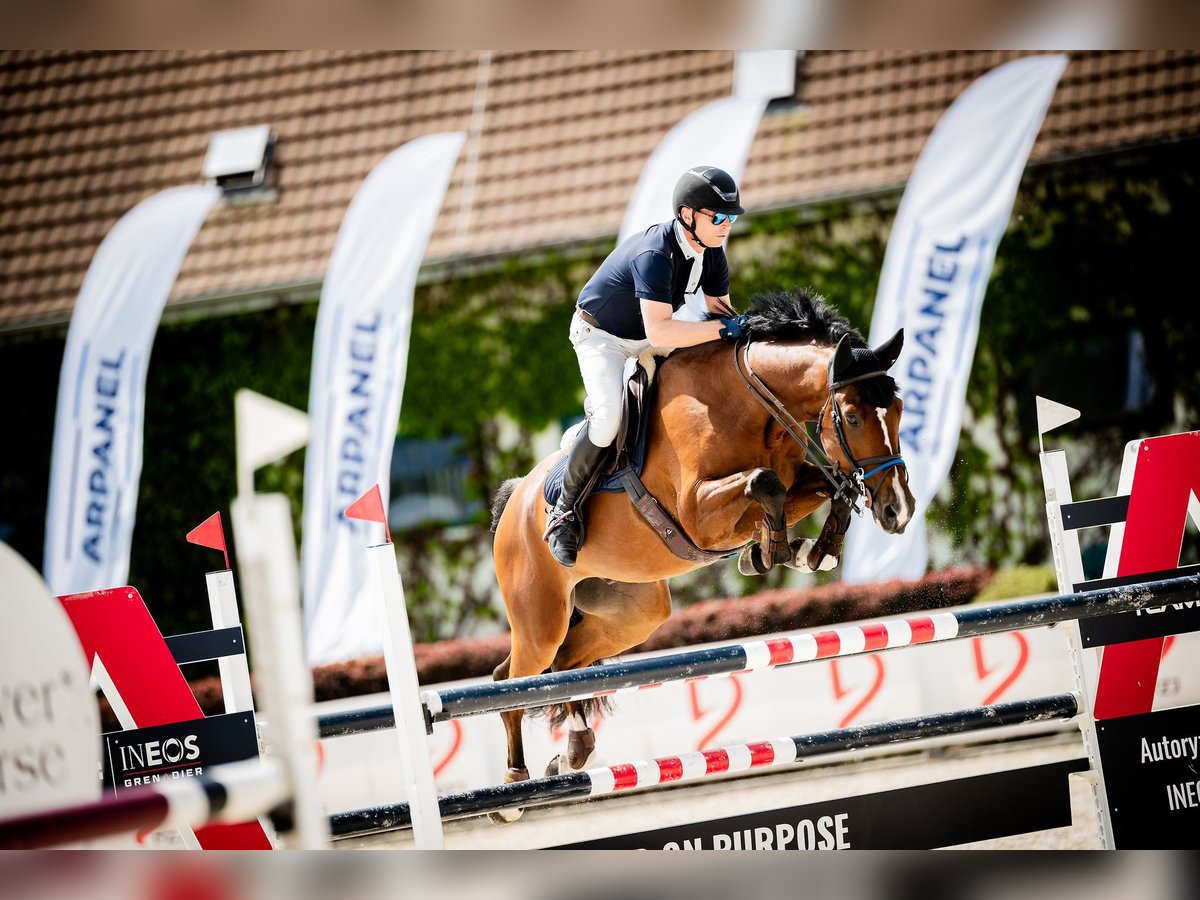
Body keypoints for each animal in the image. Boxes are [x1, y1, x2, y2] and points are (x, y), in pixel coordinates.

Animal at [487, 290, 907, 825]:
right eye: (853, 418)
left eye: (898, 410)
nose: (899, 509)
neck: (749, 401)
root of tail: (515, 498)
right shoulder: (696, 513)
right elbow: (765, 483)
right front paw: (773, 550)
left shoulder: (793, 480)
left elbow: (819, 488)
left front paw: (808, 551)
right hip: (541, 618)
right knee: (510, 681)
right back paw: (513, 788)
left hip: (633, 613)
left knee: (565, 664)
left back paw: (573, 751)